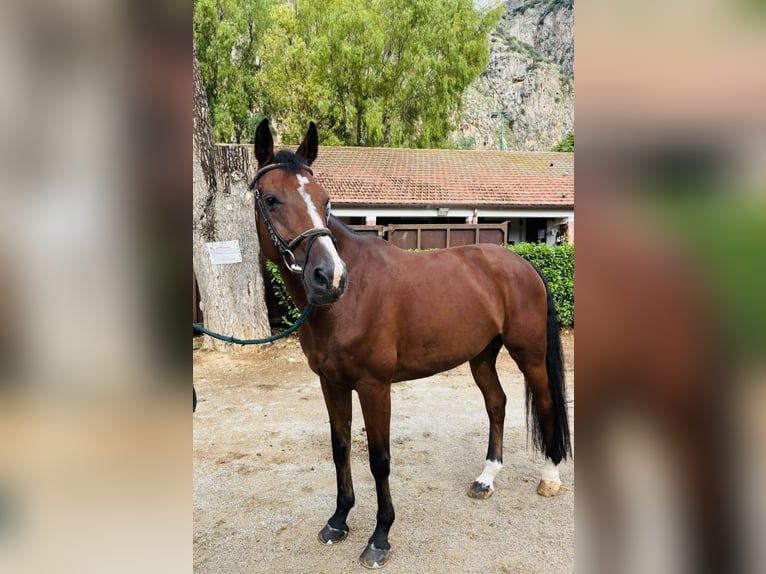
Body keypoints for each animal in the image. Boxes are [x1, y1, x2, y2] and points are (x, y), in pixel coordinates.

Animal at [250, 118, 571, 568]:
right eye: (272, 199)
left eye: (325, 201)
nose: (329, 277)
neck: (351, 298)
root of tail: (524, 263)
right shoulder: (331, 384)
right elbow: (340, 447)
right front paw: (338, 520)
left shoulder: (374, 386)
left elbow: (379, 459)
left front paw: (380, 537)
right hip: (481, 357)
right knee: (497, 403)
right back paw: (486, 478)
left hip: (530, 355)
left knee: (544, 402)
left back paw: (550, 476)